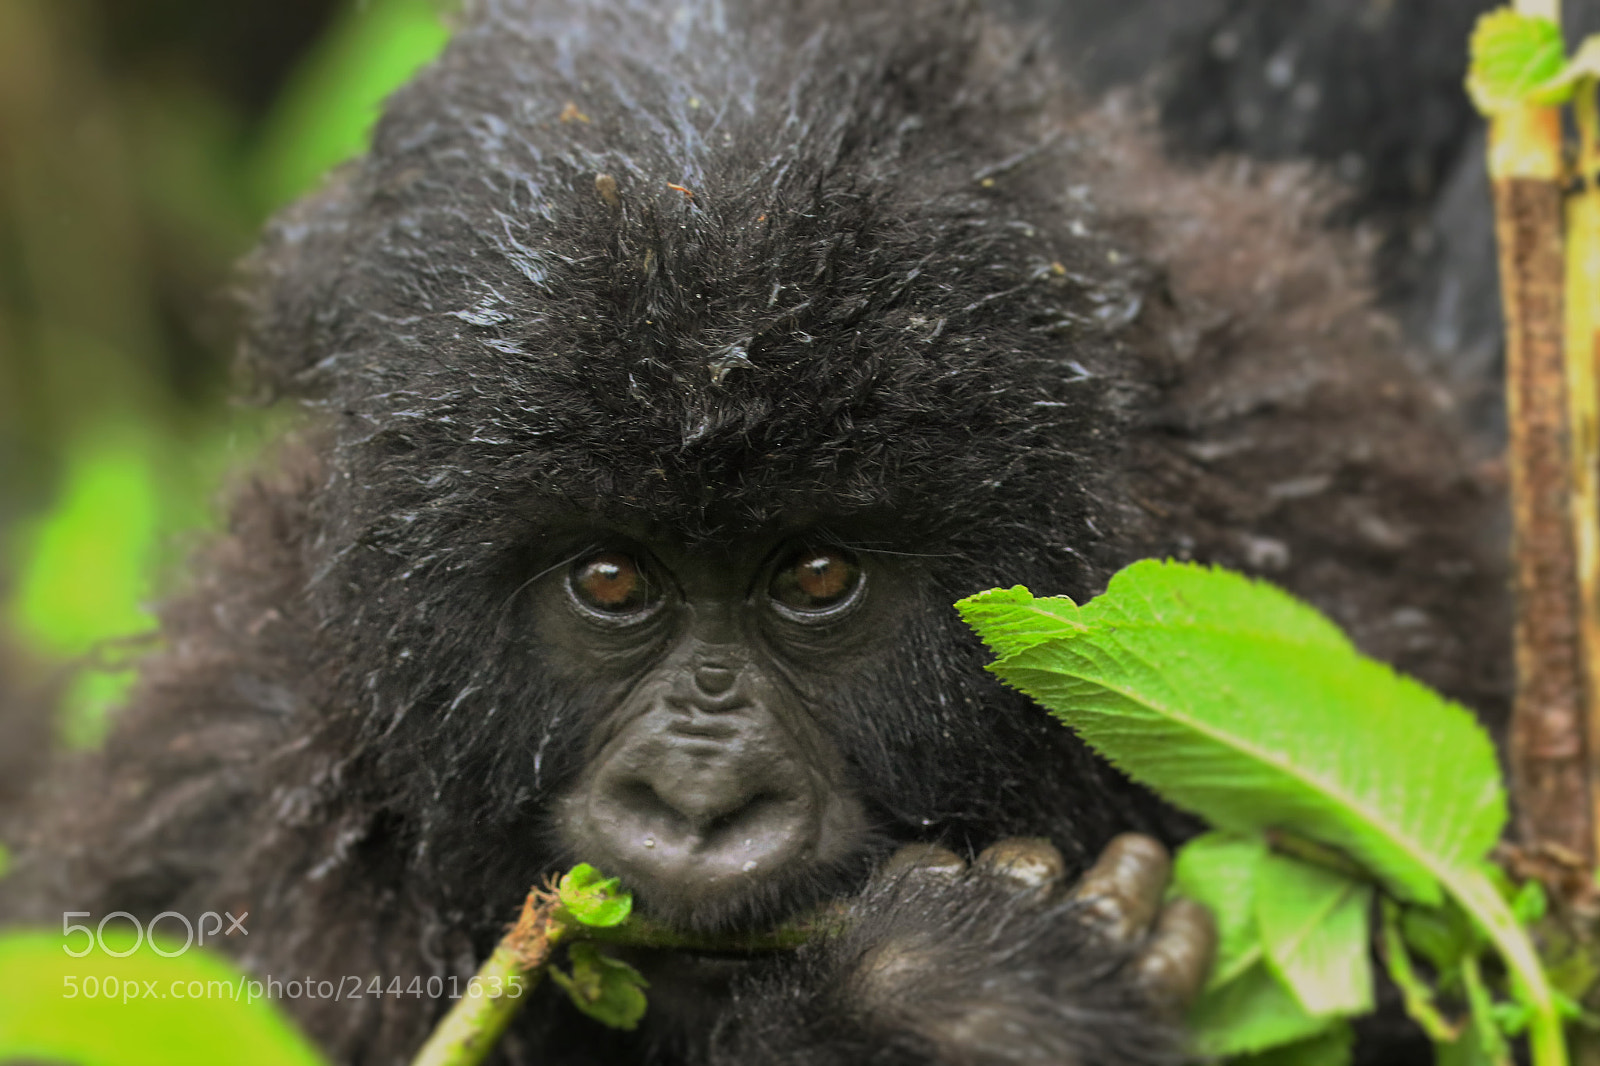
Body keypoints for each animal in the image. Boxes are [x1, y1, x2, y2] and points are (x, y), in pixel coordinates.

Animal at [0, 0, 1509, 1063]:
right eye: (611, 580)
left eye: (818, 575)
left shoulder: (1333, 565)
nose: (703, 801)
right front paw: (937, 1005)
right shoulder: (232, 791)